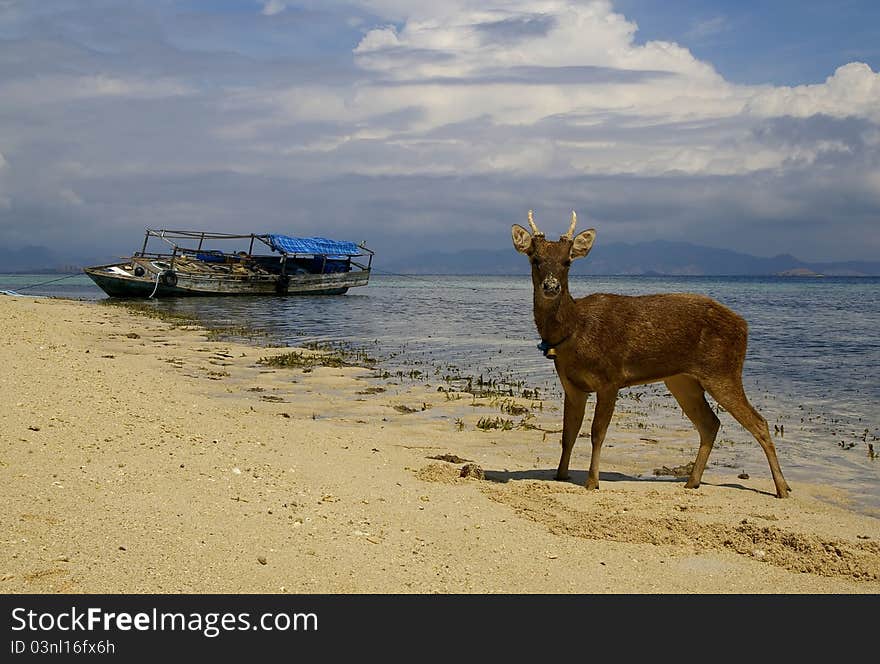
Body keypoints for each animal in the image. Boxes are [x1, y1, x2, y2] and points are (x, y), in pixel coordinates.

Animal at [508, 210, 792, 496]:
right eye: (535, 259)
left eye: (567, 262)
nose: (551, 287)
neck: (574, 331)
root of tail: (744, 326)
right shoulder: (572, 385)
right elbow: (568, 434)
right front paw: (560, 475)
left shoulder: (611, 378)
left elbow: (597, 433)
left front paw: (592, 481)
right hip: (682, 380)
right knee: (710, 423)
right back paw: (692, 481)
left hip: (723, 369)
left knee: (759, 422)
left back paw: (782, 488)